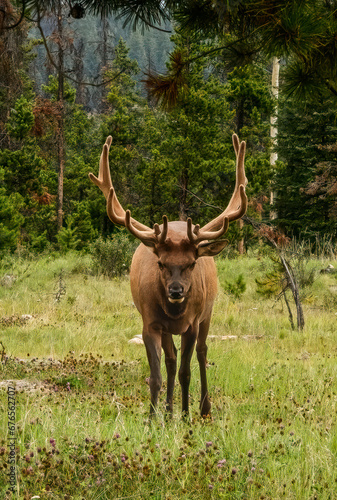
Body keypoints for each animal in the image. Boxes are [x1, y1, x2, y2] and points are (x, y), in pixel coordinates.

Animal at [89, 134, 247, 418]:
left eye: (192, 263)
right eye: (161, 263)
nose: (176, 291)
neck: (175, 313)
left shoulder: (192, 323)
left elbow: (186, 371)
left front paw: (185, 416)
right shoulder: (150, 323)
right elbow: (156, 375)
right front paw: (153, 418)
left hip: (208, 313)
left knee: (202, 353)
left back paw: (203, 409)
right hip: (166, 328)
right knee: (171, 359)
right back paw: (169, 410)